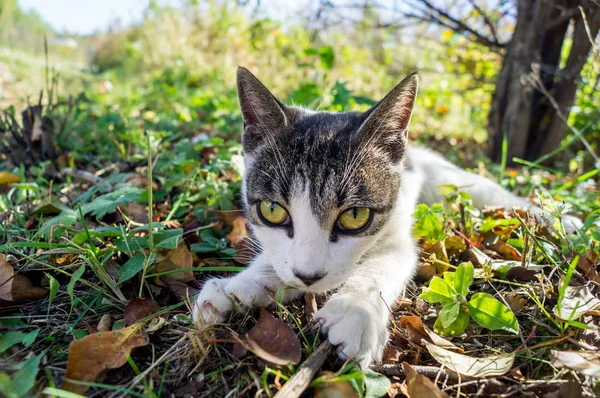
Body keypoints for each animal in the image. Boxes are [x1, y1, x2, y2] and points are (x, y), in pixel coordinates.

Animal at [192, 67, 580, 368]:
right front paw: (237, 286)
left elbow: (386, 263)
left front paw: (356, 310)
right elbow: (273, 261)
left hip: (453, 181)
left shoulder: (397, 233)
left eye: (355, 216)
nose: (309, 277)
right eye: (273, 210)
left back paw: (562, 220)